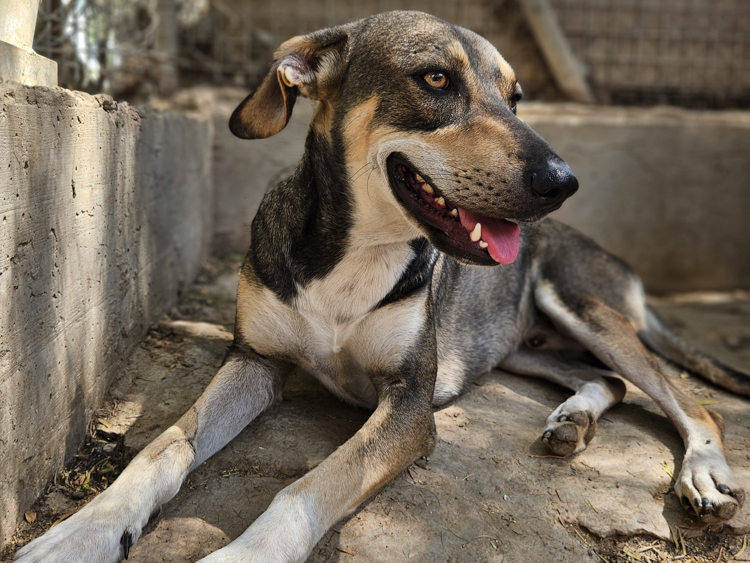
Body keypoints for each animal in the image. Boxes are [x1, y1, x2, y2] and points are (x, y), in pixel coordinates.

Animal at [14, 9, 748, 563]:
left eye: (514, 98)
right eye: (435, 78)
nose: (563, 182)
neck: (356, 251)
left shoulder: (408, 404)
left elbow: (309, 485)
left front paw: (240, 556)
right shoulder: (254, 362)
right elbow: (162, 448)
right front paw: (79, 534)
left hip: (583, 306)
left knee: (688, 401)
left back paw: (703, 472)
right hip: (522, 345)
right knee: (610, 382)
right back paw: (571, 421)